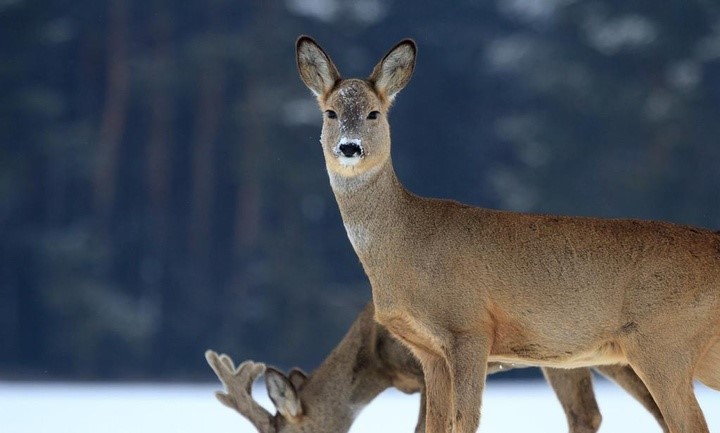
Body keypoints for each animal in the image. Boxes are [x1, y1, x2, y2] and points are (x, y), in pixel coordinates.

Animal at [294, 34, 720, 432]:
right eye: (330, 112)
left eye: (374, 113)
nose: (350, 148)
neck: (406, 245)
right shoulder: (429, 351)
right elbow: (436, 425)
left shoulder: (470, 328)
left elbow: (465, 420)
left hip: (663, 343)